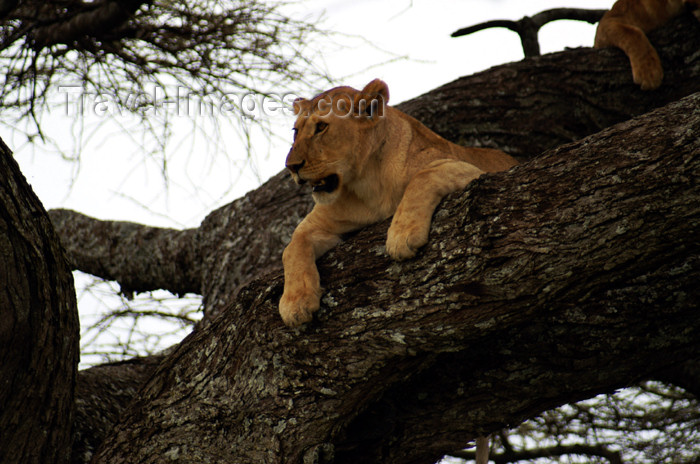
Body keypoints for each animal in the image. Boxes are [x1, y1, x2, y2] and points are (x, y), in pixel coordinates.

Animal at [278, 79, 520, 326]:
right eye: (296, 131)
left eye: (321, 127)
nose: (291, 167)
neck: (366, 183)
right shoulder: (319, 222)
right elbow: (291, 247)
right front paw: (295, 304)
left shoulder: (469, 168)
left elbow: (422, 177)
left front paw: (402, 236)